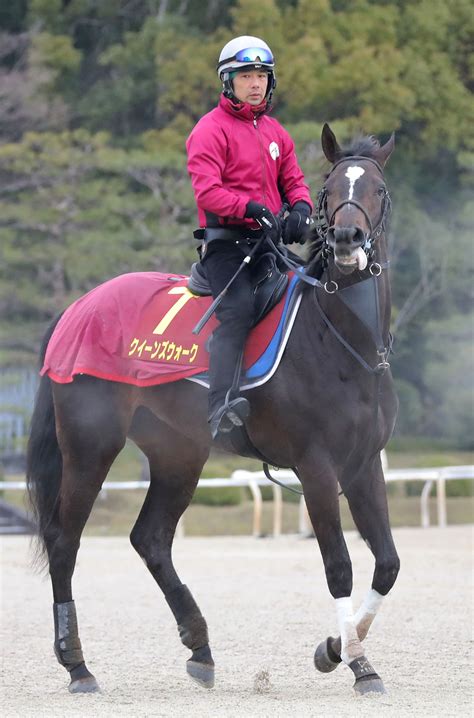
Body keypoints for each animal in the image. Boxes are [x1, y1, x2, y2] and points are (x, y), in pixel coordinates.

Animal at [25, 122, 400, 696]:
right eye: (328, 190)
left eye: (377, 190)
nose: (346, 241)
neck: (344, 342)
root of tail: (78, 307)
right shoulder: (317, 468)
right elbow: (339, 565)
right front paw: (354, 661)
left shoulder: (362, 466)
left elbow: (386, 564)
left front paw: (337, 650)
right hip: (91, 448)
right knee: (65, 540)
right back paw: (78, 665)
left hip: (179, 452)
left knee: (151, 538)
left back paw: (199, 648)